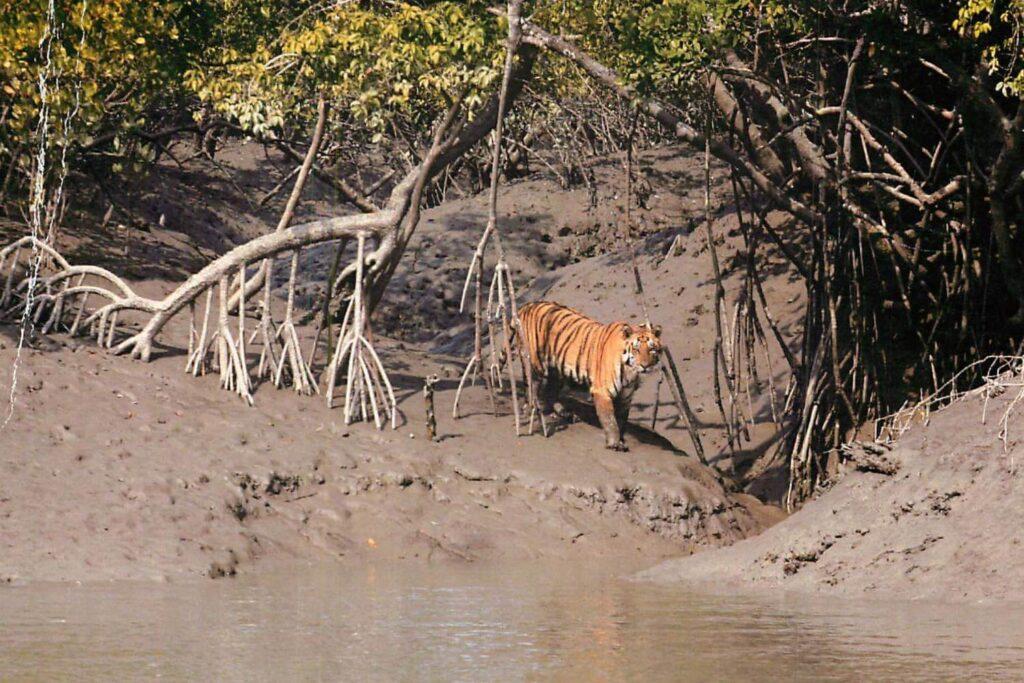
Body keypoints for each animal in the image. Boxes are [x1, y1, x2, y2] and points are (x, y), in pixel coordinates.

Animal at [512, 301, 663, 450]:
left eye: (652, 349)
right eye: (636, 350)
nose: (645, 366)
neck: (629, 371)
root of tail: (527, 306)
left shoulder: (626, 397)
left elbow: (621, 421)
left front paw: (620, 440)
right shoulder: (602, 392)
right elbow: (610, 421)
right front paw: (614, 443)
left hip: (556, 369)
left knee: (550, 391)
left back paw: (564, 413)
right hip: (534, 364)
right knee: (531, 388)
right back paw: (531, 411)